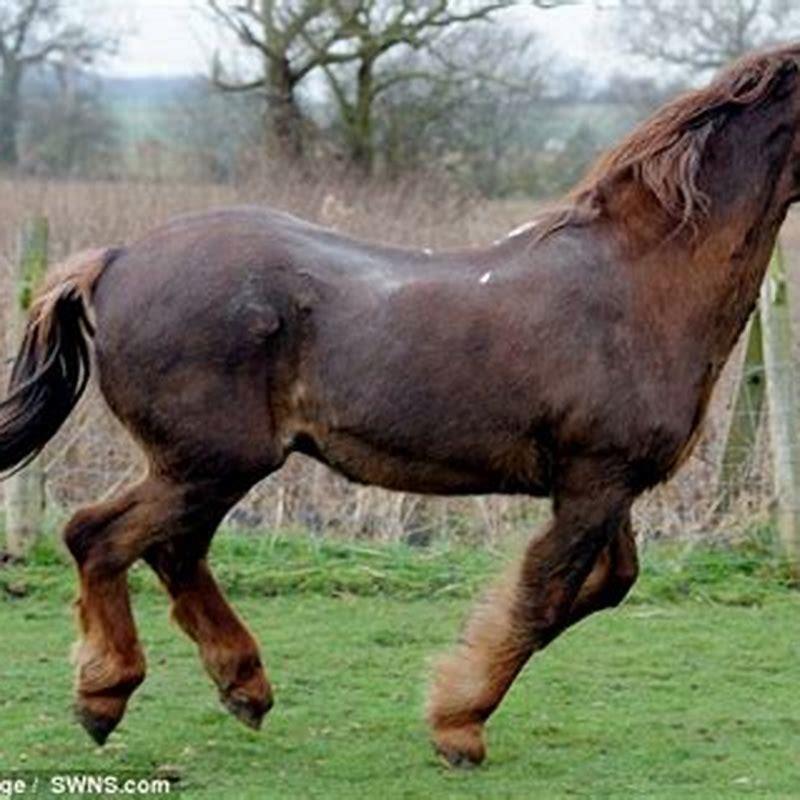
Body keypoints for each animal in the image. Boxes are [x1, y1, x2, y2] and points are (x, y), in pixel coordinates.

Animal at [2, 43, 800, 767]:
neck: (635, 286)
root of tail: (113, 261)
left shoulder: (607, 487)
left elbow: (605, 586)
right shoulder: (594, 483)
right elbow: (544, 596)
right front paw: (458, 725)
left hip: (205, 468)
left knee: (172, 550)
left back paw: (243, 687)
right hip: (208, 462)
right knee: (98, 536)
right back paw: (104, 696)